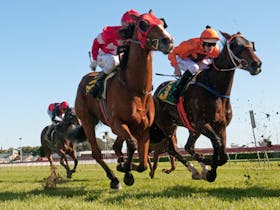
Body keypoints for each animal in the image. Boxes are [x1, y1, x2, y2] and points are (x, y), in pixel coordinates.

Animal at [75, 10, 174, 190]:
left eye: (163, 23)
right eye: (143, 24)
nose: (168, 41)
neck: (136, 90)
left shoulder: (143, 129)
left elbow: (143, 163)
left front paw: (126, 168)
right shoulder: (117, 122)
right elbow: (132, 145)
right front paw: (124, 170)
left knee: (116, 146)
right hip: (87, 121)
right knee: (97, 153)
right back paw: (114, 179)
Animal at [150, 31, 262, 182]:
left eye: (251, 44)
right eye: (234, 45)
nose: (256, 64)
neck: (215, 90)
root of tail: (156, 93)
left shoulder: (221, 126)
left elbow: (223, 154)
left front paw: (209, 169)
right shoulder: (201, 124)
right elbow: (217, 144)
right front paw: (210, 168)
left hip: (189, 128)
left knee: (188, 147)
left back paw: (200, 168)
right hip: (168, 125)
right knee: (173, 149)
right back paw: (195, 170)